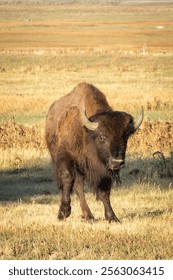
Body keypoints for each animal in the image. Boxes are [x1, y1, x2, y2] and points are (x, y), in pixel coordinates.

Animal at [45, 82, 144, 222]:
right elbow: (67, 179)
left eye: (125, 136)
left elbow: (105, 191)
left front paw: (112, 217)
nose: (117, 162)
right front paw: (63, 212)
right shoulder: (67, 158)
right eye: (102, 136)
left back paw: (88, 216)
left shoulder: (104, 169)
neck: (87, 133)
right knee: (77, 186)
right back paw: (87, 216)